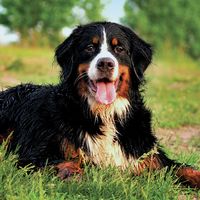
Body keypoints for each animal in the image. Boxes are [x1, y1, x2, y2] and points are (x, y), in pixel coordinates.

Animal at [0, 22, 199, 188]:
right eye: (90, 47)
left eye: (119, 48)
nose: (105, 63)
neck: (105, 113)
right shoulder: (33, 153)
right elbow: (67, 162)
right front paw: (76, 176)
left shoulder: (146, 153)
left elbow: (183, 168)